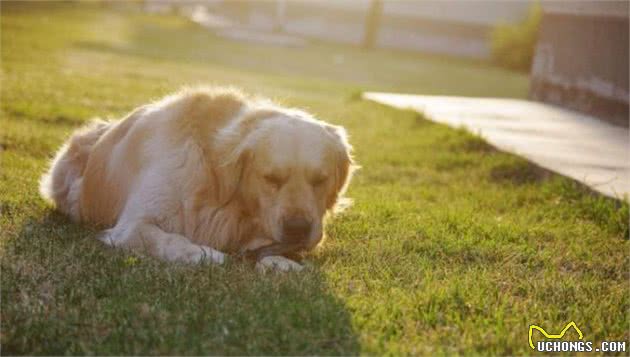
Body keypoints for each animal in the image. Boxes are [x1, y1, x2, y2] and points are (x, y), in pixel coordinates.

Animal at [39, 86, 358, 270]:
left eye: (320, 180)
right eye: (271, 179)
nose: (298, 229)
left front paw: (281, 262)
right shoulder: (132, 226)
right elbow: (169, 240)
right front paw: (206, 254)